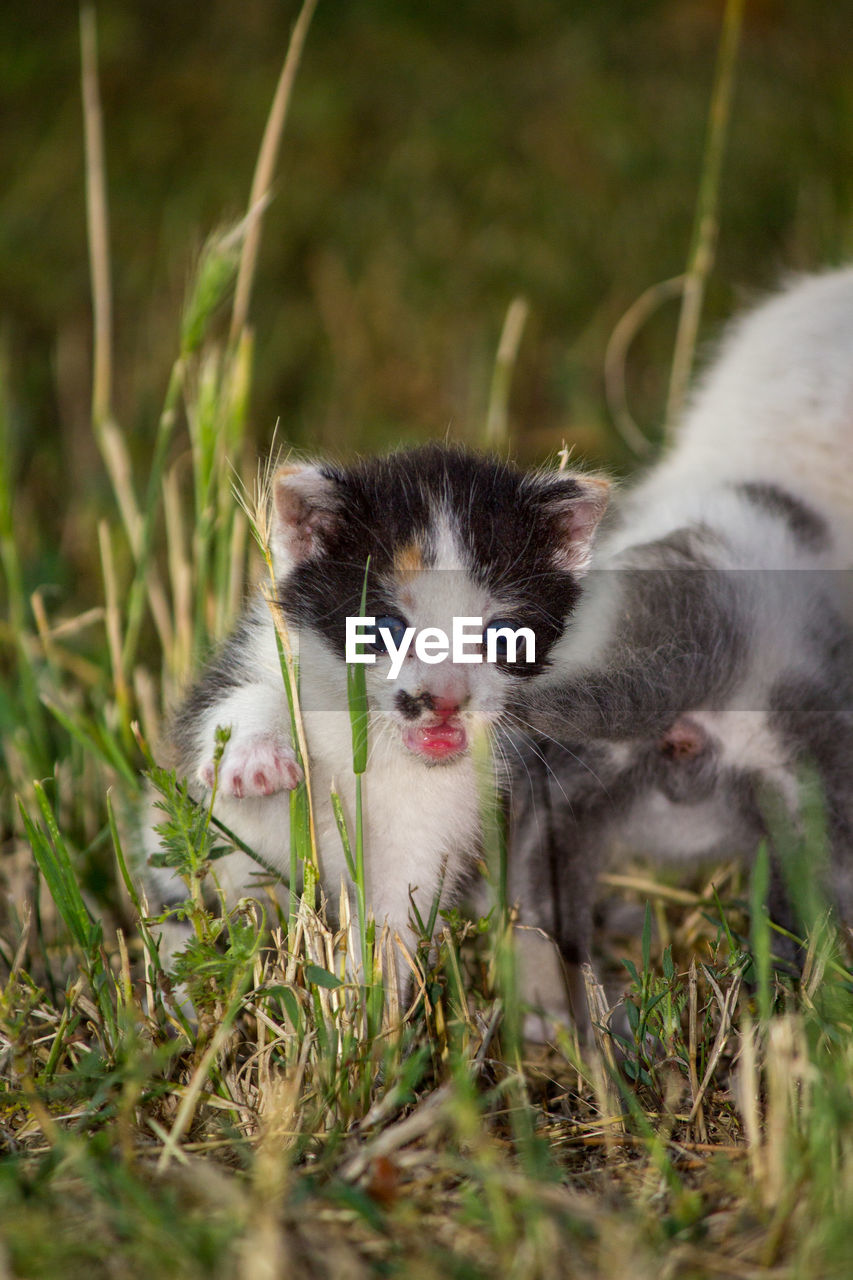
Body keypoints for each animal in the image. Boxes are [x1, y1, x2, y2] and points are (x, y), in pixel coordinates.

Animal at [144, 445, 604, 993]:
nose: (445, 699)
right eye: (386, 627)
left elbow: (396, 913)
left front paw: (363, 992)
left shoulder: (446, 816)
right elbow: (233, 743)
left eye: (504, 634)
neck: (372, 744)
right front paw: (257, 757)